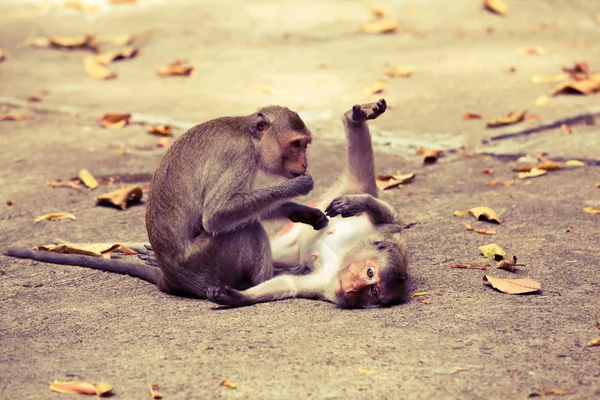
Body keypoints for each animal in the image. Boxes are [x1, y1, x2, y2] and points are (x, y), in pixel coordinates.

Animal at [3, 105, 328, 296]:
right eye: (296, 145)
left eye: (304, 145)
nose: (304, 164)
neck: (247, 135)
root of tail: (171, 279)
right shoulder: (237, 156)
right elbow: (218, 216)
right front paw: (298, 188)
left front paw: (300, 211)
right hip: (203, 262)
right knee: (244, 228)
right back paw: (265, 281)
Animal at [204, 99, 410, 310]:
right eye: (370, 272)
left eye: (373, 291)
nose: (352, 289)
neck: (345, 255)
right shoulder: (383, 231)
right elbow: (391, 218)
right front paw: (357, 203)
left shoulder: (327, 284)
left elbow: (291, 284)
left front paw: (238, 296)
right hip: (353, 186)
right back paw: (355, 119)